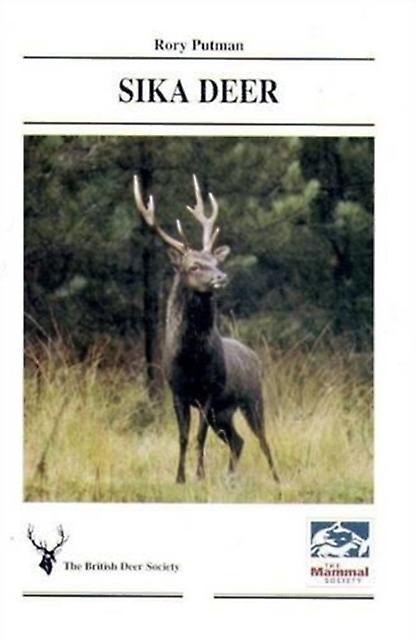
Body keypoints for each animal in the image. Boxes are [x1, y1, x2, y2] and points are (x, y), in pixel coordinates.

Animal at [133, 174, 279, 484]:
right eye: (194, 266)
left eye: (216, 261)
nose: (221, 277)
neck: (191, 359)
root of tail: (254, 356)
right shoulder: (177, 391)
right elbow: (183, 438)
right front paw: (180, 477)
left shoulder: (208, 391)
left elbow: (199, 437)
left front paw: (199, 475)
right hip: (222, 413)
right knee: (238, 440)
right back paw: (231, 477)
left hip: (251, 398)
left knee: (262, 440)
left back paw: (276, 479)